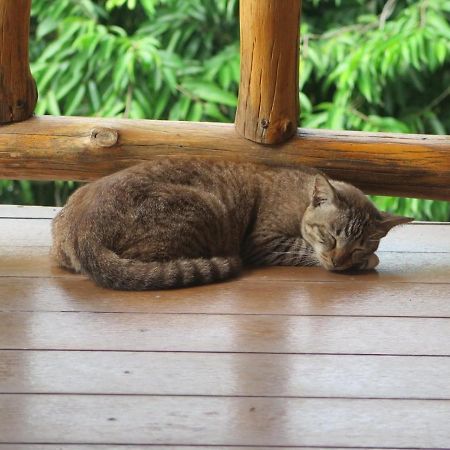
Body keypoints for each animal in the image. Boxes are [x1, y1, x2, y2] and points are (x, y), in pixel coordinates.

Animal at [51, 159, 414, 292]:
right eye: (329, 235)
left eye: (359, 245)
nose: (340, 262)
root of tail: (84, 230)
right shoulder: (264, 242)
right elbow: (304, 249)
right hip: (205, 208)